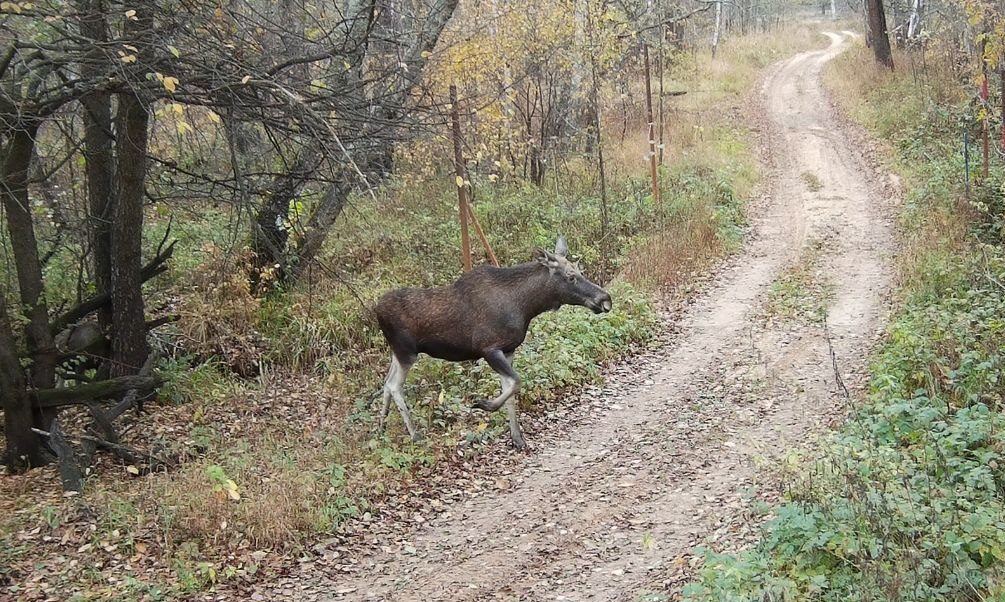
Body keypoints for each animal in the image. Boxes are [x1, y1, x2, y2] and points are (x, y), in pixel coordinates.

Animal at [377, 237, 611, 448]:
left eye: (580, 271)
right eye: (571, 277)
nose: (605, 299)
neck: (527, 306)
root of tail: (375, 311)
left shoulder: (509, 350)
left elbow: (510, 389)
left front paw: (517, 439)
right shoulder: (489, 349)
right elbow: (516, 382)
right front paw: (484, 404)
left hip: (396, 352)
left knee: (386, 383)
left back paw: (381, 429)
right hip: (406, 351)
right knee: (394, 385)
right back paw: (415, 435)